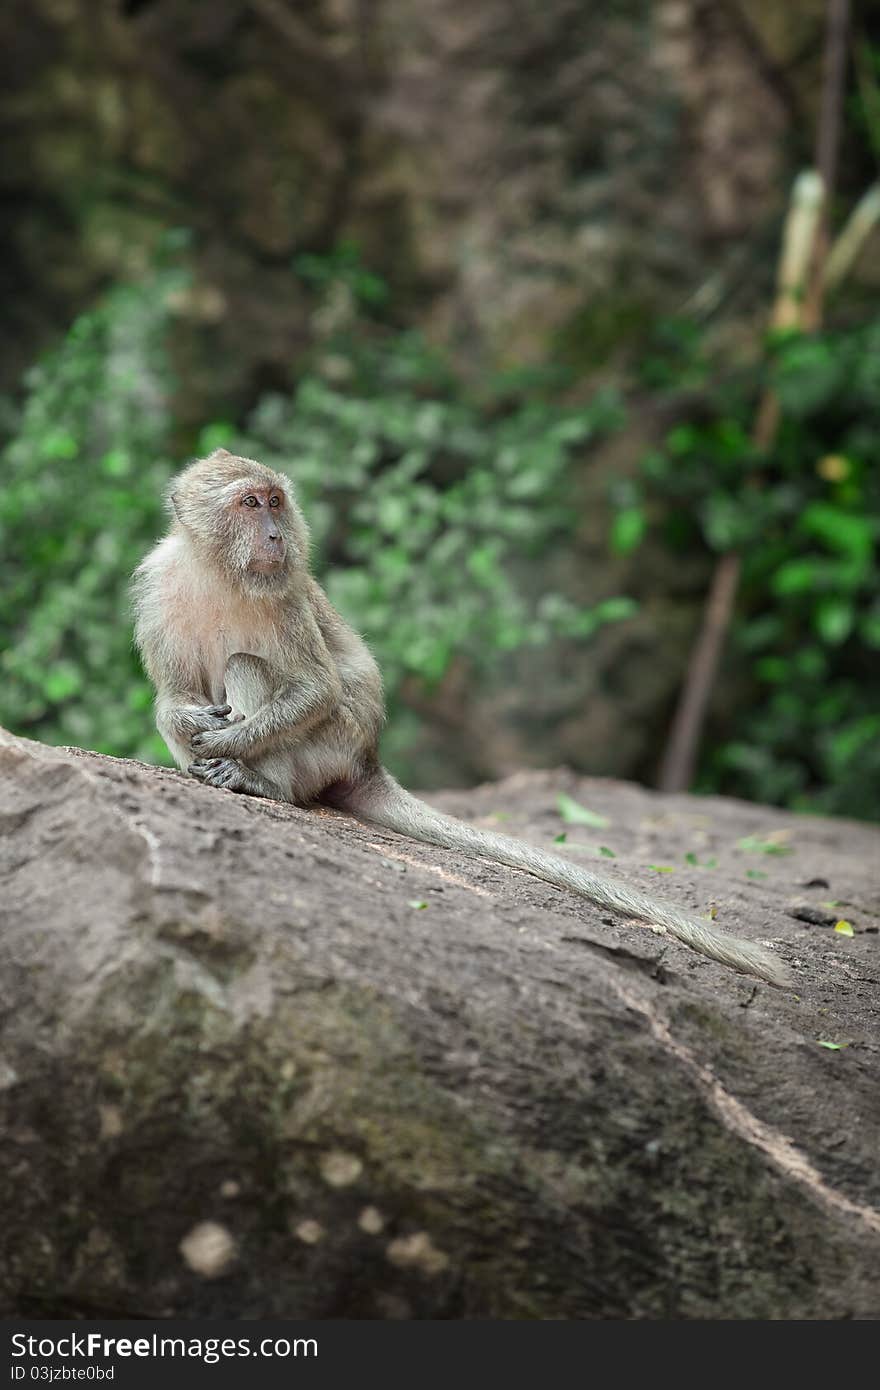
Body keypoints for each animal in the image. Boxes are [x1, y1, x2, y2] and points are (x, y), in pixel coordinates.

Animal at [130, 447, 789, 989]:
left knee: (252, 669)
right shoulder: (159, 590)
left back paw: (260, 782)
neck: (219, 571)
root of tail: (367, 758)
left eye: (275, 502)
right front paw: (193, 724)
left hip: (329, 748)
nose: (273, 535)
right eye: (249, 503)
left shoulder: (287, 593)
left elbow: (316, 690)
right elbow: (173, 698)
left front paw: (228, 741)